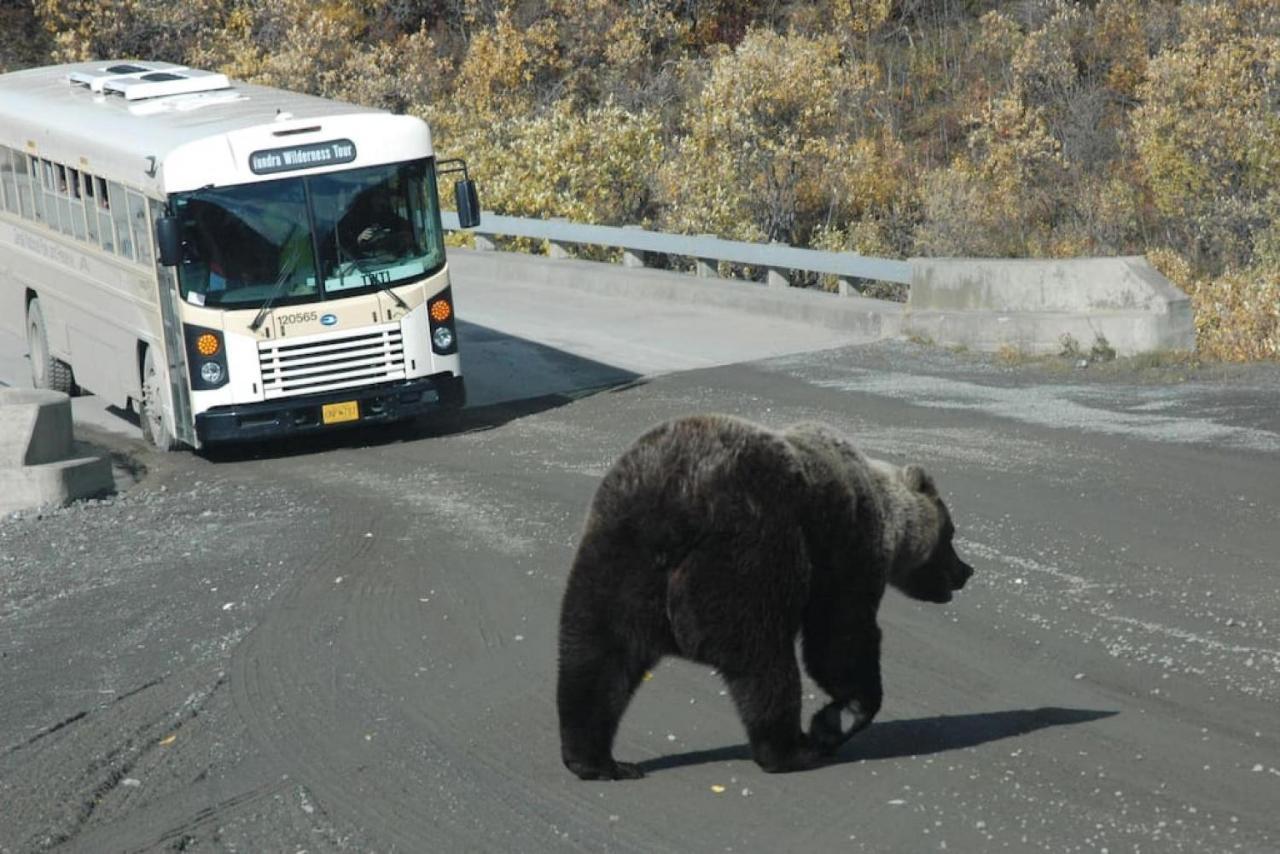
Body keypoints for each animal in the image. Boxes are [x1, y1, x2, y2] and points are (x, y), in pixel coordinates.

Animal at [555, 414, 972, 783]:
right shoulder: (845, 548)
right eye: (951, 534)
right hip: (749, 558)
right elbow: (840, 637)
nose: (965, 571)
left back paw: (597, 761)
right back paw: (790, 750)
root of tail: (674, 507)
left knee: (596, 659)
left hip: (617, 561)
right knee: (764, 663)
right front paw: (837, 718)